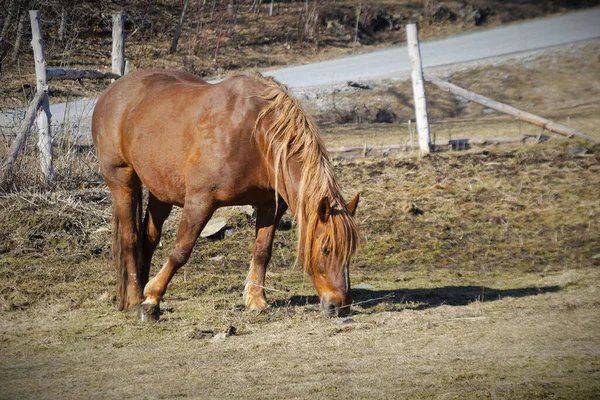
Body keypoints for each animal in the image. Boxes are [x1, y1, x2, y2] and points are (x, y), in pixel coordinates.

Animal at [91, 69, 358, 322]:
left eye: (350, 252)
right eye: (326, 249)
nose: (339, 305)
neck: (255, 134)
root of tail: (111, 92)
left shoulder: (270, 206)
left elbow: (262, 251)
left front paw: (256, 300)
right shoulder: (200, 202)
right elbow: (180, 252)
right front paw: (153, 298)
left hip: (161, 193)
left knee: (148, 240)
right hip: (123, 181)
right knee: (130, 240)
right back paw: (137, 300)